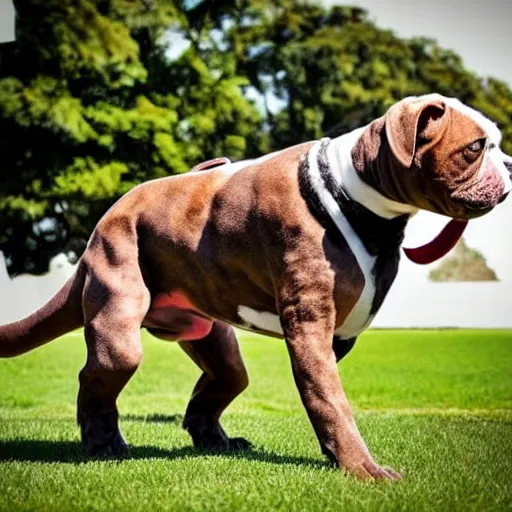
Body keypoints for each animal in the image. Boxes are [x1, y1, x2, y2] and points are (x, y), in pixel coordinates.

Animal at [0, 95, 510, 480]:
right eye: (475, 147)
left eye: (498, 145)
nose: (509, 161)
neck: (357, 193)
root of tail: (96, 234)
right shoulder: (311, 330)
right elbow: (332, 403)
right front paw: (363, 468)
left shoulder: (334, 339)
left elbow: (324, 398)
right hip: (119, 326)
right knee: (95, 381)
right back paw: (103, 444)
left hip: (214, 342)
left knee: (214, 391)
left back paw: (218, 442)